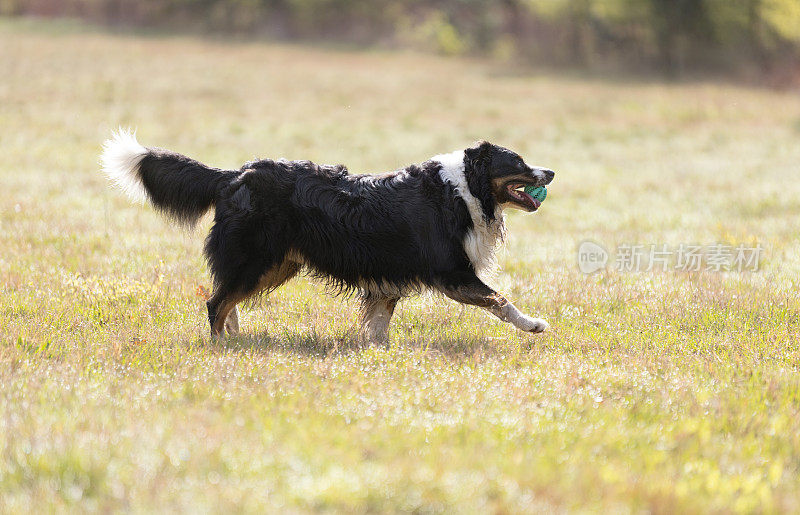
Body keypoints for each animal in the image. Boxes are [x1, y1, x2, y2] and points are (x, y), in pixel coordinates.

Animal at [100, 131, 552, 344]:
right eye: (517, 162)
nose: (550, 172)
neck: (464, 190)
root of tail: (237, 174)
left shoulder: (389, 279)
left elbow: (379, 324)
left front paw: (378, 352)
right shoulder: (452, 273)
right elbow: (500, 299)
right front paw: (534, 324)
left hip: (276, 263)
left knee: (226, 299)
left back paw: (236, 338)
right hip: (258, 259)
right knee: (215, 302)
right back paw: (220, 348)